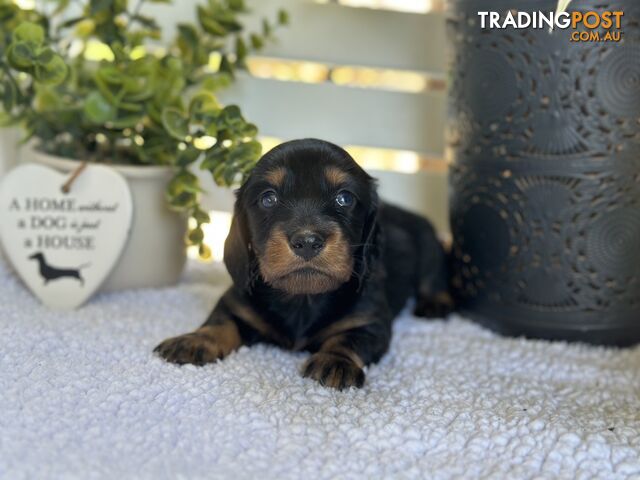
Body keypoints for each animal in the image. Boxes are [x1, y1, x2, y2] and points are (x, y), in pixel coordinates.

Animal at [155, 138, 452, 390]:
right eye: (268, 198)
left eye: (344, 198)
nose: (307, 241)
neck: (303, 298)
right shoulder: (236, 303)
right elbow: (219, 322)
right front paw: (194, 340)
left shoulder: (370, 321)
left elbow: (348, 338)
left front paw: (335, 361)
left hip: (429, 246)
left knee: (434, 277)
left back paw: (435, 303)